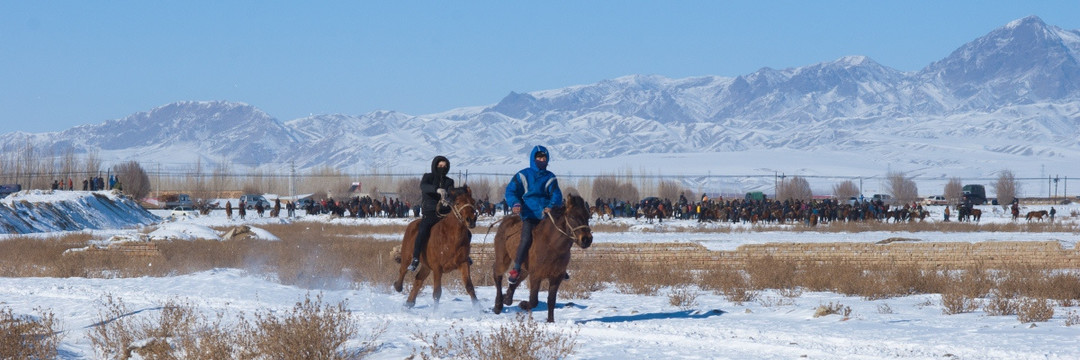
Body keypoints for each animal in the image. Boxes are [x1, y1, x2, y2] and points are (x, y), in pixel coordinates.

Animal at [494, 193, 596, 322]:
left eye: (587, 216)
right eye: (572, 217)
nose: (586, 239)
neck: (552, 245)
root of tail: (506, 220)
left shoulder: (556, 277)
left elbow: (551, 301)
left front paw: (550, 321)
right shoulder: (536, 276)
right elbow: (533, 301)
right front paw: (523, 304)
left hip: (524, 268)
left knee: (515, 279)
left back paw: (507, 298)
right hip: (502, 258)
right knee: (497, 275)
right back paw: (498, 305)